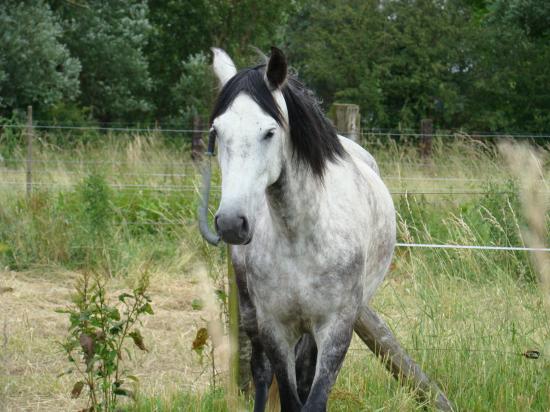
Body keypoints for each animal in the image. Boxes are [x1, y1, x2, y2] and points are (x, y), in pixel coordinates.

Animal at [205, 46, 454, 410]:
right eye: (217, 132)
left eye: (269, 132)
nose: (231, 223)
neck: (298, 236)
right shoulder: (275, 329)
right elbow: (289, 397)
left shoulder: (336, 328)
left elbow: (314, 397)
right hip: (253, 314)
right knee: (261, 373)